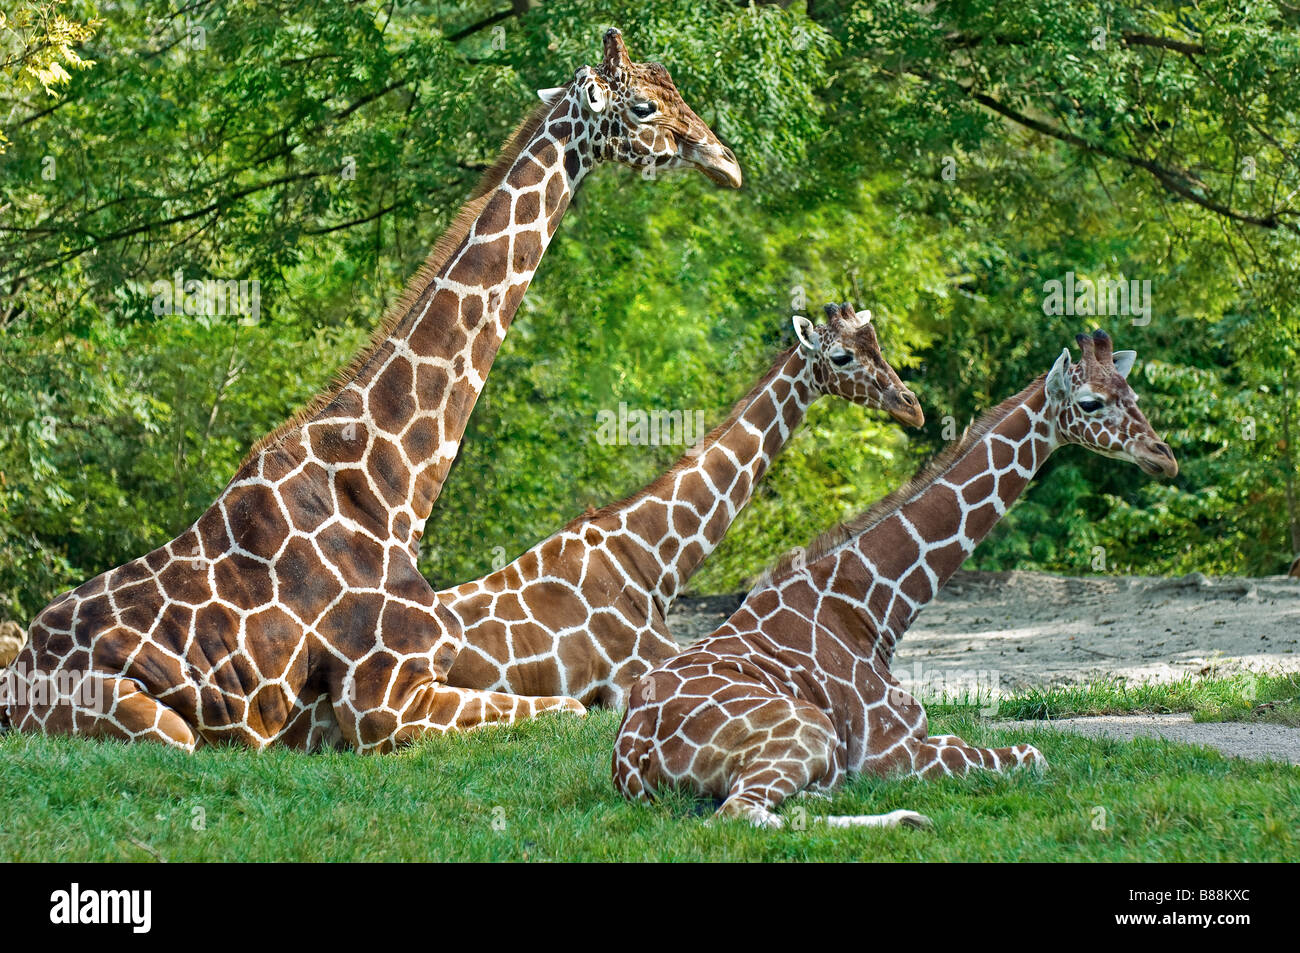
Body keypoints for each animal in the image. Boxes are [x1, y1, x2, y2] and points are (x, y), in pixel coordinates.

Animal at [0, 29, 743, 754]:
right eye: (644, 107)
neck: (394, 482)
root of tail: (15, 686)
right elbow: (567, 709)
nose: (726, 163)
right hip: (160, 726)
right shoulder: (381, 703)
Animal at [613, 327, 1185, 826]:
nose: (1164, 458)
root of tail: (630, 762)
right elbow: (1033, 754)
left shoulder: (920, 739)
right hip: (809, 728)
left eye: (1131, 393)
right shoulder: (890, 755)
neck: (874, 609)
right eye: (1090, 402)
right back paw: (909, 819)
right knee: (742, 814)